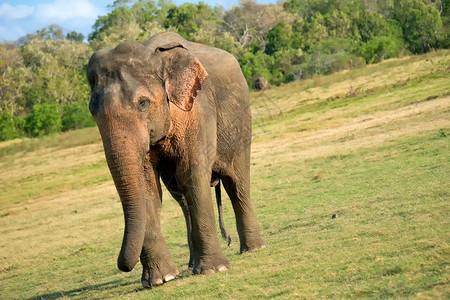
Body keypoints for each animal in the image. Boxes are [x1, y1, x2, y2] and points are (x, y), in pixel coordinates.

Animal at [86, 31, 266, 288]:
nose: (123, 266)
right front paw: (160, 279)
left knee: (237, 183)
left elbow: (194, 173)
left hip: (241, 123)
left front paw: (215, 270)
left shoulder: (198, 110)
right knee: (181, 197)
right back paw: (191, 266)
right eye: (93, 112)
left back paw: (253, 249)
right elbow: (147, 186)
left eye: (143, 103)